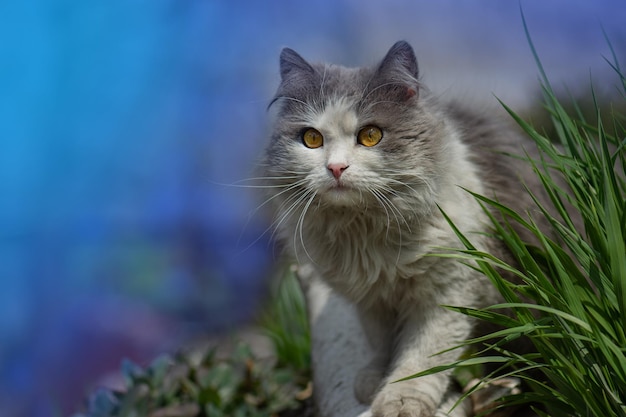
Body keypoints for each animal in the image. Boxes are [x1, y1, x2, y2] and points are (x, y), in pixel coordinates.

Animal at [258, 41, 552, 416]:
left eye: (370, 136)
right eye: (311, 138)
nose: (336, 168)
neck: (365, 234)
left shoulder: (449, 290)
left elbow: (422, 357)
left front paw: (400, 401)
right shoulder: (372, 299)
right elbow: (382, 343)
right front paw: (373, 380)